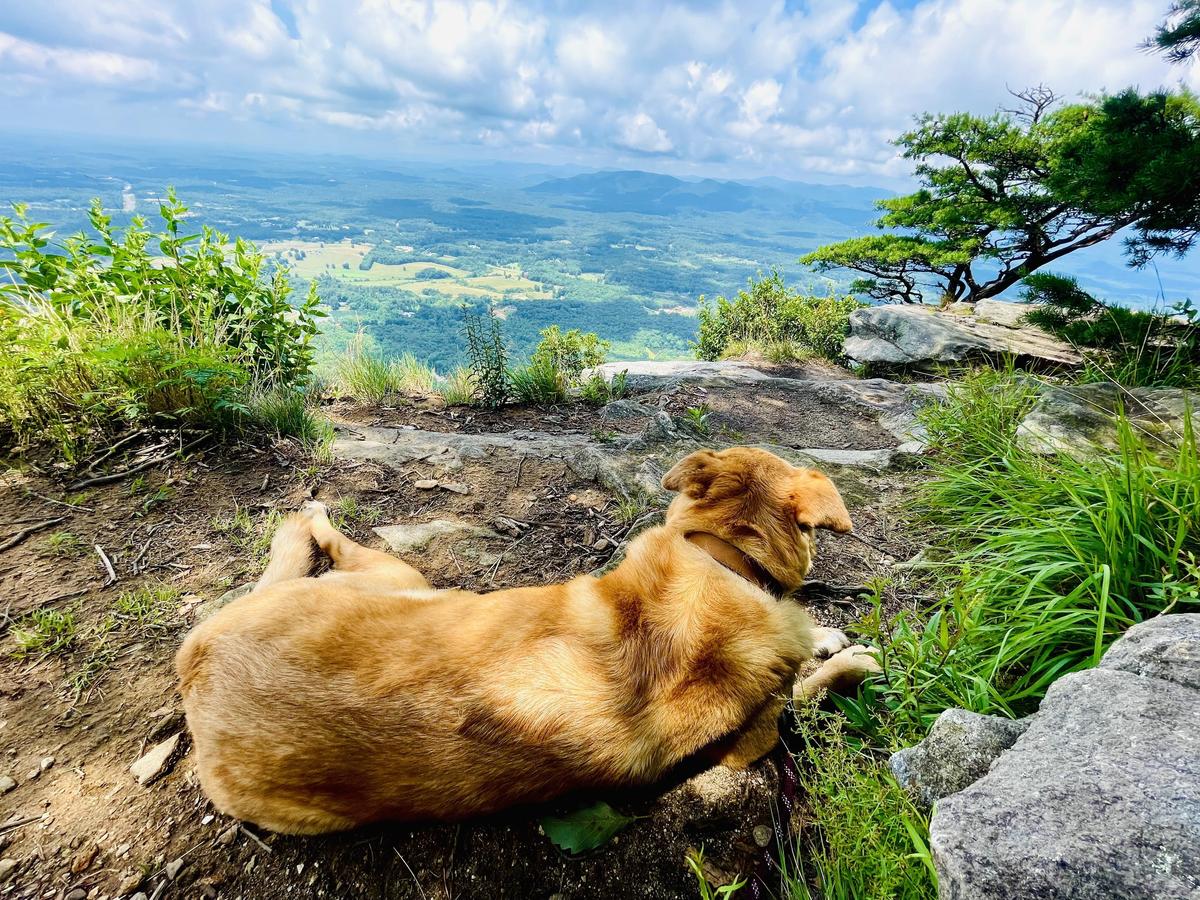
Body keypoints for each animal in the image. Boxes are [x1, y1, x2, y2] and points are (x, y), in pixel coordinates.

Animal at [174, 448, 878, 835]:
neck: (727, 560)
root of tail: (198, 665)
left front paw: (833, 644)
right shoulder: (758, 736)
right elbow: (810, 689)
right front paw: (844, 655)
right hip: (402, 577)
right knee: (319, 543)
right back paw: (312, 516)